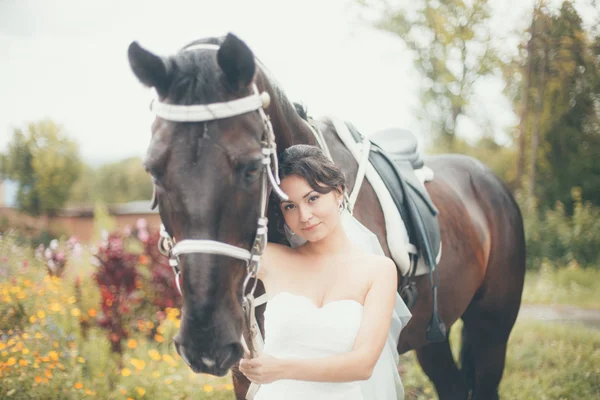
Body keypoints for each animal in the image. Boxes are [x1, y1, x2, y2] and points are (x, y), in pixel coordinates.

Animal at [127, 34, 524, 400]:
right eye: (153, 170)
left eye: (252, 168)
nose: (205, 339)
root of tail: (491, 182)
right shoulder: (245, 373)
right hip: (433, 336)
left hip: (491, 331)